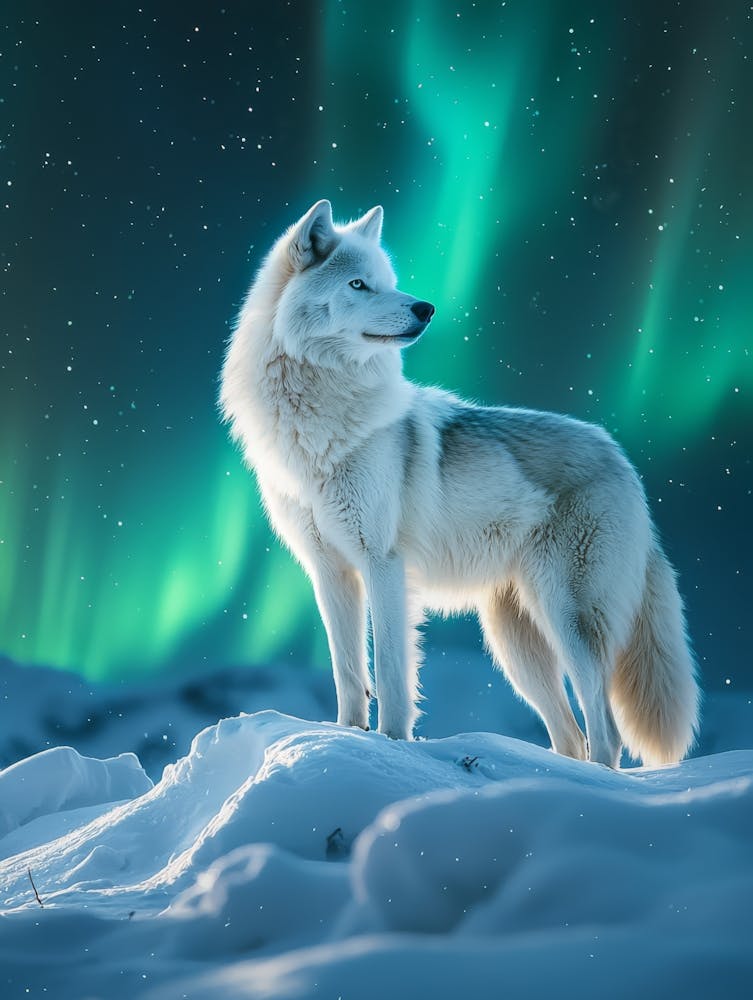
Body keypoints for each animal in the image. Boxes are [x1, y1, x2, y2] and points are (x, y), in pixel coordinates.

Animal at [220, 199, 699, 767]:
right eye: (359, 284)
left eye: (388, 282)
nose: (425, 308)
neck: (318, 422)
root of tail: (623, 459)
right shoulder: (330, 571)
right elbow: (348, 673)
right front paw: (343, 741)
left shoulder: (384, 564)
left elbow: (392, 674)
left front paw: (392, 748)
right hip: (514, 645)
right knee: (572, 736)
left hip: (569, 618)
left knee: (605, 731)